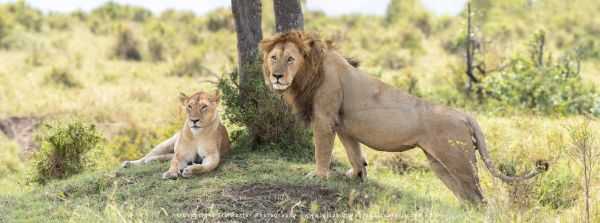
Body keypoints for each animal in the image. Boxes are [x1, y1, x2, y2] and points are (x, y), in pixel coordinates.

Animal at [258, 30, 548, 204]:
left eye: (290, 59)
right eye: (273, 58)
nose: (277, 76)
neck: (309, 72)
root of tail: (466, 114)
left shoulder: (325, 117)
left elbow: (322, 150)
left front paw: (318, 175)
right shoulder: (343, 125)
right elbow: (354, 153)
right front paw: (357, 175)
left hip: (461, 164)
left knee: (482, 201)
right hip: (441, 166)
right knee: (469, 200)